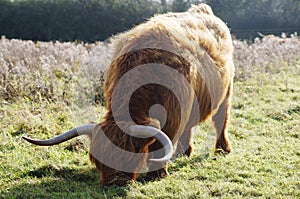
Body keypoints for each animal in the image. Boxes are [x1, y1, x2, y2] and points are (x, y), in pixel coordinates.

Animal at [22, 3, 234, 187]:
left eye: (131, 154)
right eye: (97, 158)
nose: (112, 184)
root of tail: (202, 9)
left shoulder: (174, 114)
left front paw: (158, 173)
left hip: (226, 91)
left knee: (220, 120)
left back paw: (222, 149)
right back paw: (183, 153)